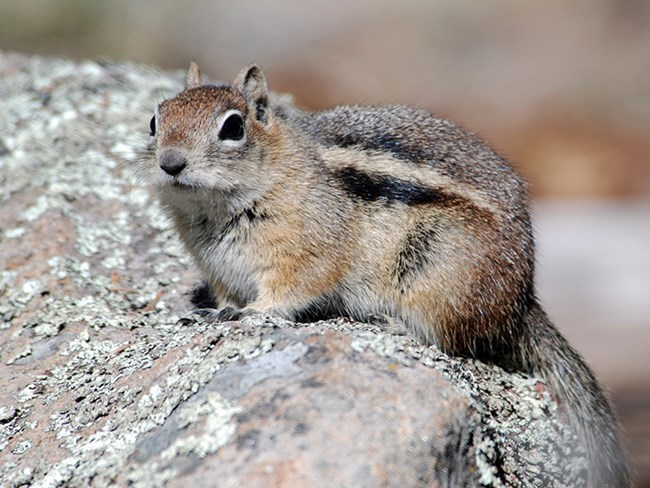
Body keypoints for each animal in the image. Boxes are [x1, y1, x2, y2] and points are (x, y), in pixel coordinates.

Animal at [147, 63, 628, 486]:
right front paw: (210, 314)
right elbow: (226, 297)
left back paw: (390, 323)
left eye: (233, 128)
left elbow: (293, 290)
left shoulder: (307, 252)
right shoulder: (219, 270)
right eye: (155, 120)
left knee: (449, 339)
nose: (170, 163)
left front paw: (255, 314)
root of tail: (522, 301)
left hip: (436, 273)